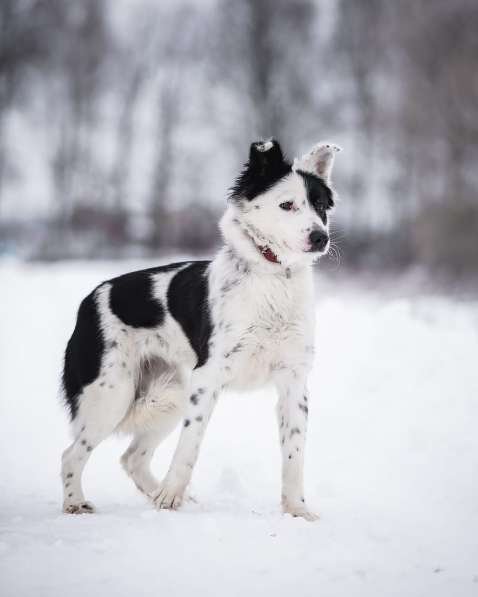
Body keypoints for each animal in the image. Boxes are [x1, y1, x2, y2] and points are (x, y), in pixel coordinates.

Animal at [60, 137, 340, 520]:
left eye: (321, 206)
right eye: (287, 205)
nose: (320, 237)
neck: (272, 278)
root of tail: (90, 299)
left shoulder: (294, 381)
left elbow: (294, 454)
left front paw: (296, 510)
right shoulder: (208, 377)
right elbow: (189, 446)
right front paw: (171, 494)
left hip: (168, 396)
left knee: (132, 458)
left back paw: (159, 496)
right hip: (112, 394)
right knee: (71, 454)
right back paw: (77, 502)